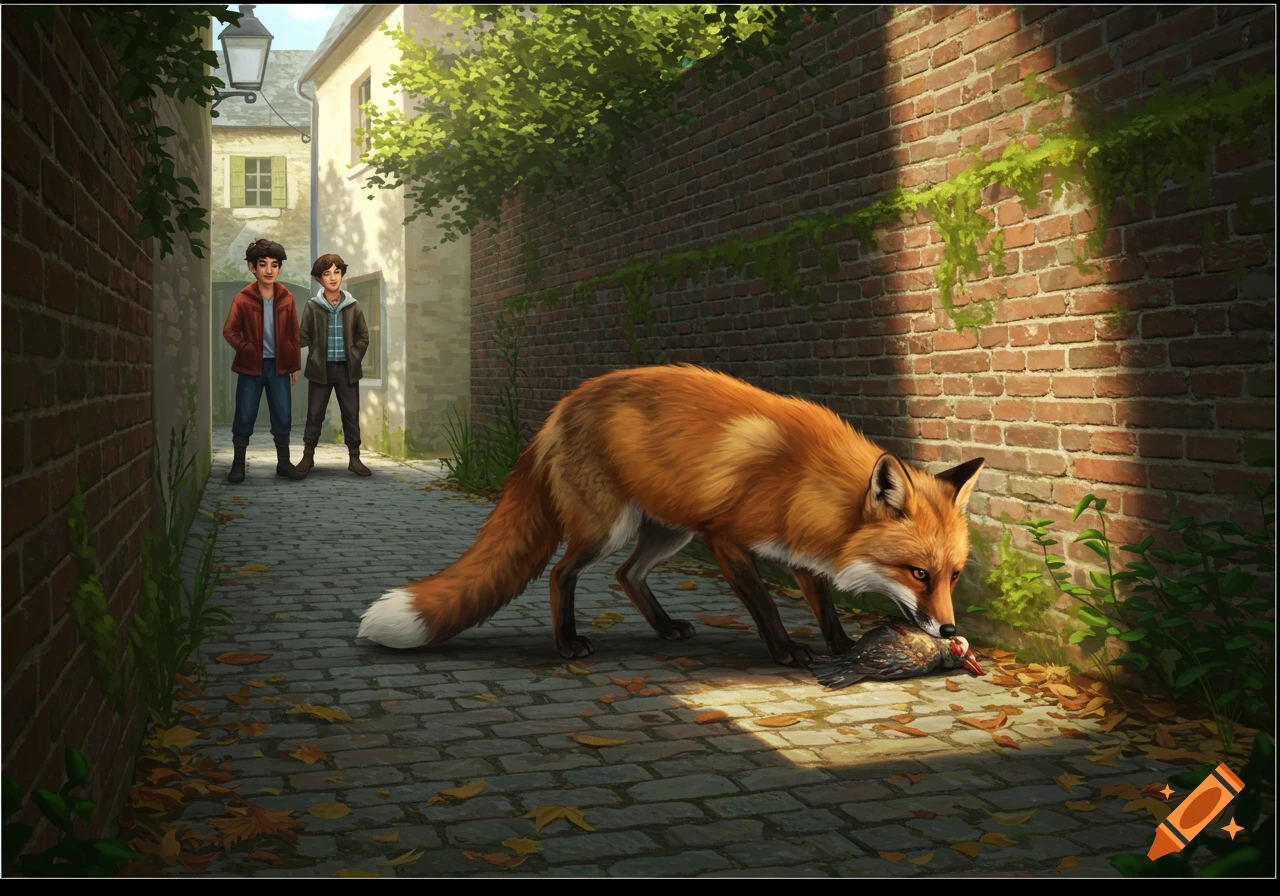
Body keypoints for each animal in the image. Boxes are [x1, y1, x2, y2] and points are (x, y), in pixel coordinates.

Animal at [357, 364, 985, 666]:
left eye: (953, 576)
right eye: (918, 573)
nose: (950, 631)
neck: (807, 479)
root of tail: (558, 412)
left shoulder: (799, 551)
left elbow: (825, 605)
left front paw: (841, 647)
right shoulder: (725, 539)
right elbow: (764, 605)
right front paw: (785, 652)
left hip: (667, 532)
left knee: (626, 575)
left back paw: (662, 628)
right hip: (612, 528)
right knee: (562, 574)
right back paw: (567, 643)